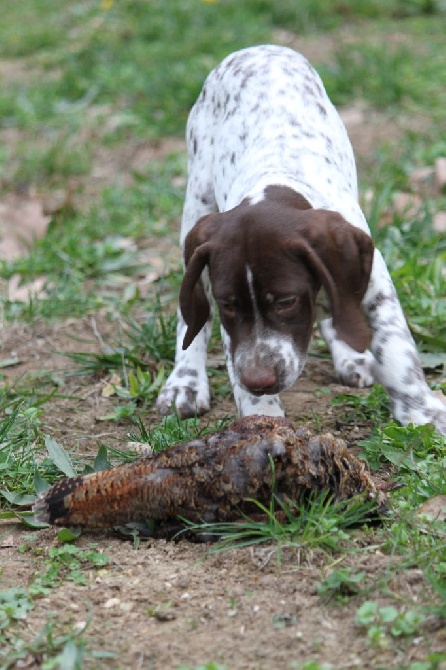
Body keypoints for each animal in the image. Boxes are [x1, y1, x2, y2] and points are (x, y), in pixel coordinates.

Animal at [156, 47, 442, 436]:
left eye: (286, 301)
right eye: (229, 304)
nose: (259, 380)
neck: (274, 186)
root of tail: (257, 48)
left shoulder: (374, 283)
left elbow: (396, 348)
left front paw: (422, 412)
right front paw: (262, 421)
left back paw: (352, 356)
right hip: (196, 209)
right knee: (192, 315)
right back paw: (184, 381)